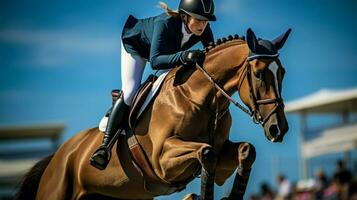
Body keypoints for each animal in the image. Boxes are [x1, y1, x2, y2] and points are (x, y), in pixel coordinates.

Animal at [15, 28, 290, 200]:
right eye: (259, 74)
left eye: (282, 72)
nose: (279, 129)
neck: (201, 99)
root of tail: (58, 157)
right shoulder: (162, 160)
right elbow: (206, 153)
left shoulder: (223, 152)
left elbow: (246, 150)